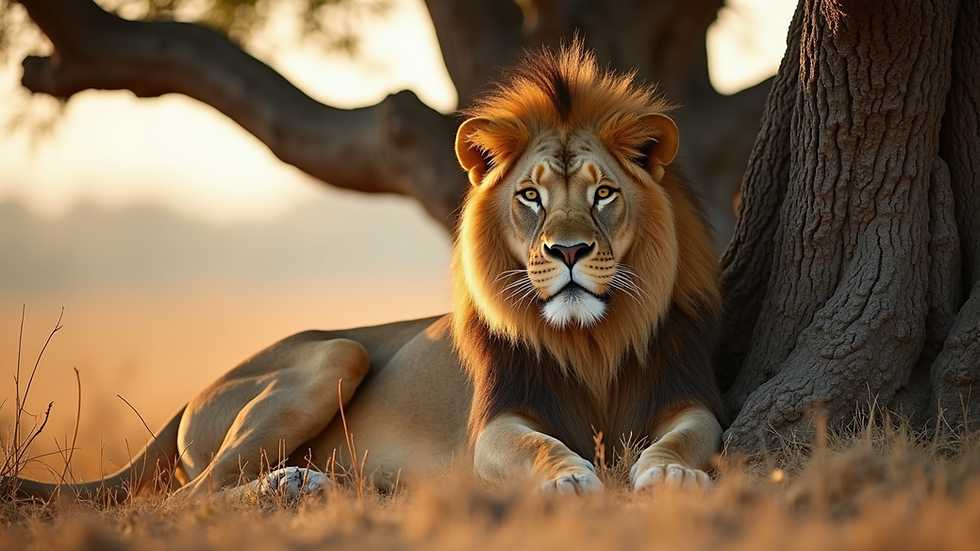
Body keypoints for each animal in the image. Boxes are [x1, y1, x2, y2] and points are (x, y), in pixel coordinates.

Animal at [15, 42, 725, 502]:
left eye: (604, 194)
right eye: (531, 196)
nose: (569, 252)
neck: (591, 341)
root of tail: (192, 395)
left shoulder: (687, 395)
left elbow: (688, 439)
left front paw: (671, 474)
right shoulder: (495, 423)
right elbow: (536, 446)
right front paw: (570, 476)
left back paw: (299, 483)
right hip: (337, 354)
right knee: (181, 501)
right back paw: (287, 489)